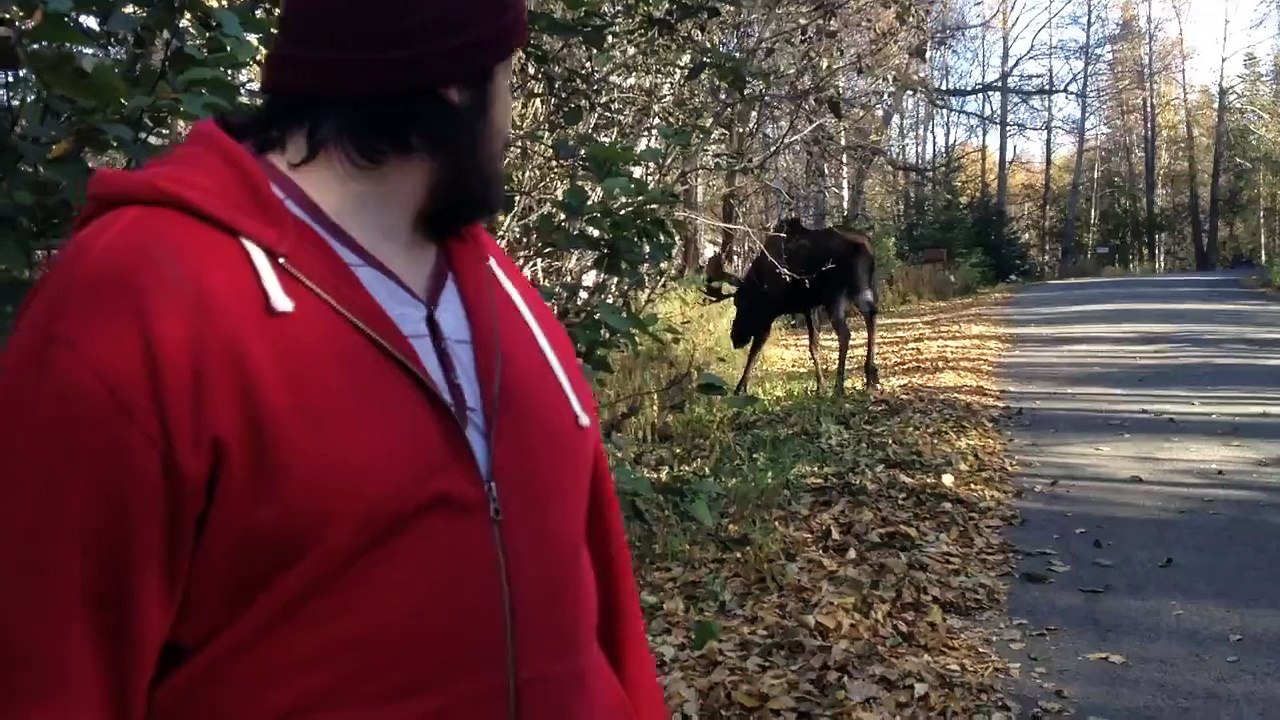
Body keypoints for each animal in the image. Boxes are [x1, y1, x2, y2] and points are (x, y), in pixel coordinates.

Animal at [702, 217, 879, 397]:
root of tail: (866, 247)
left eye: (740, 303)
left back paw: (839, 387)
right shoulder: (809, 306)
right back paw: (870, 377)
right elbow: (813, 346)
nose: (735, 338)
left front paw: (740, 388)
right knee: (871, 314)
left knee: (845, 333)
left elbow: (755, 350)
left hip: (834, 294)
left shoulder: (768, 314)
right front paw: (820, 387)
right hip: (861, 287)